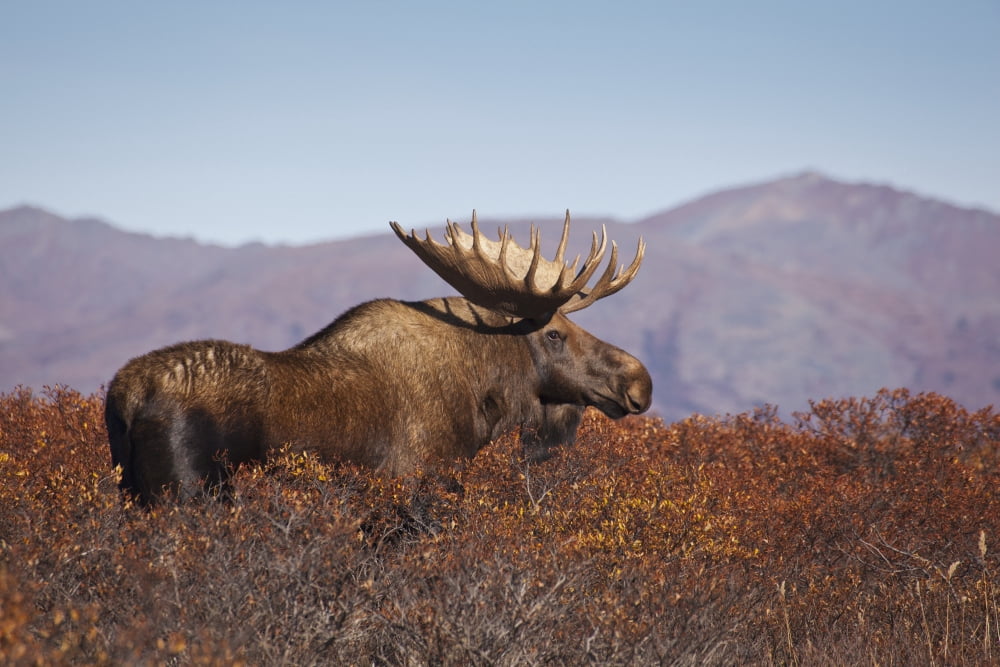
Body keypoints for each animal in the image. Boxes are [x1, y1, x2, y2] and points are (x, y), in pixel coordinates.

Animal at [105, 211, 652, 503]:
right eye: (555, 334)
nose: (639, 381)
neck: (484, 400)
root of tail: (123, 398)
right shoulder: (418, 485)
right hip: (189, 494)